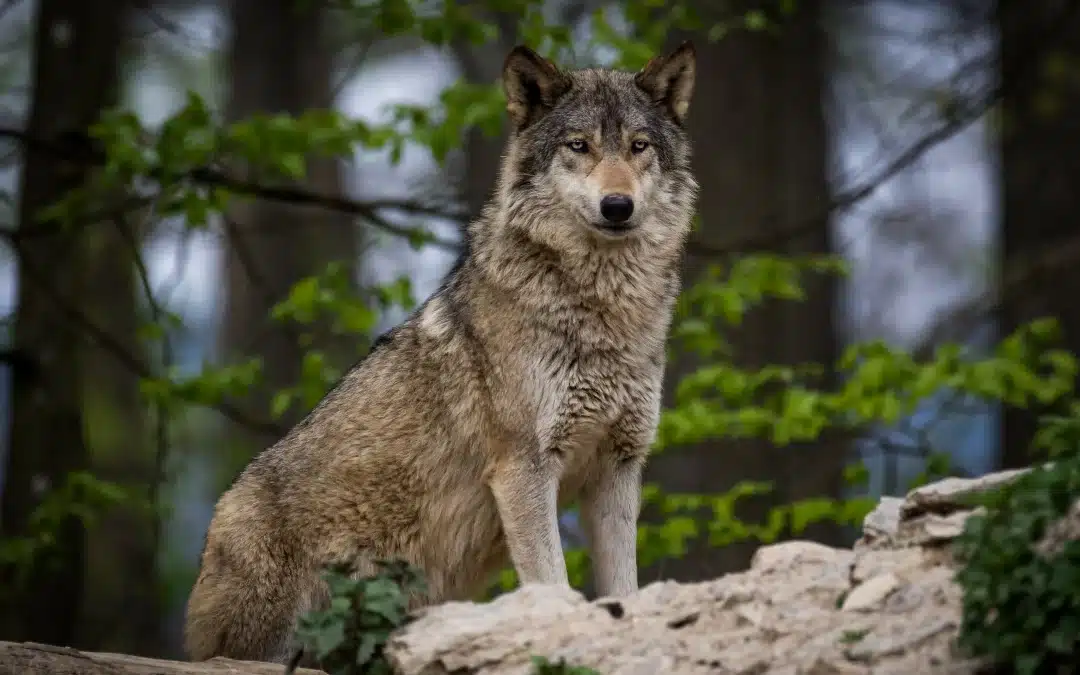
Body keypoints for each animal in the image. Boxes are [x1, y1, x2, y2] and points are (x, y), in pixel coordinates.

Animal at [184, 41, 698, 664]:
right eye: (579, 146)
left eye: (638, 146)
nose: (617, 205)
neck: (601, 311)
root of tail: (213, 525)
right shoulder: (524, 468)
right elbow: (552, 585)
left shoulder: (618, 468)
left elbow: (625, 588)